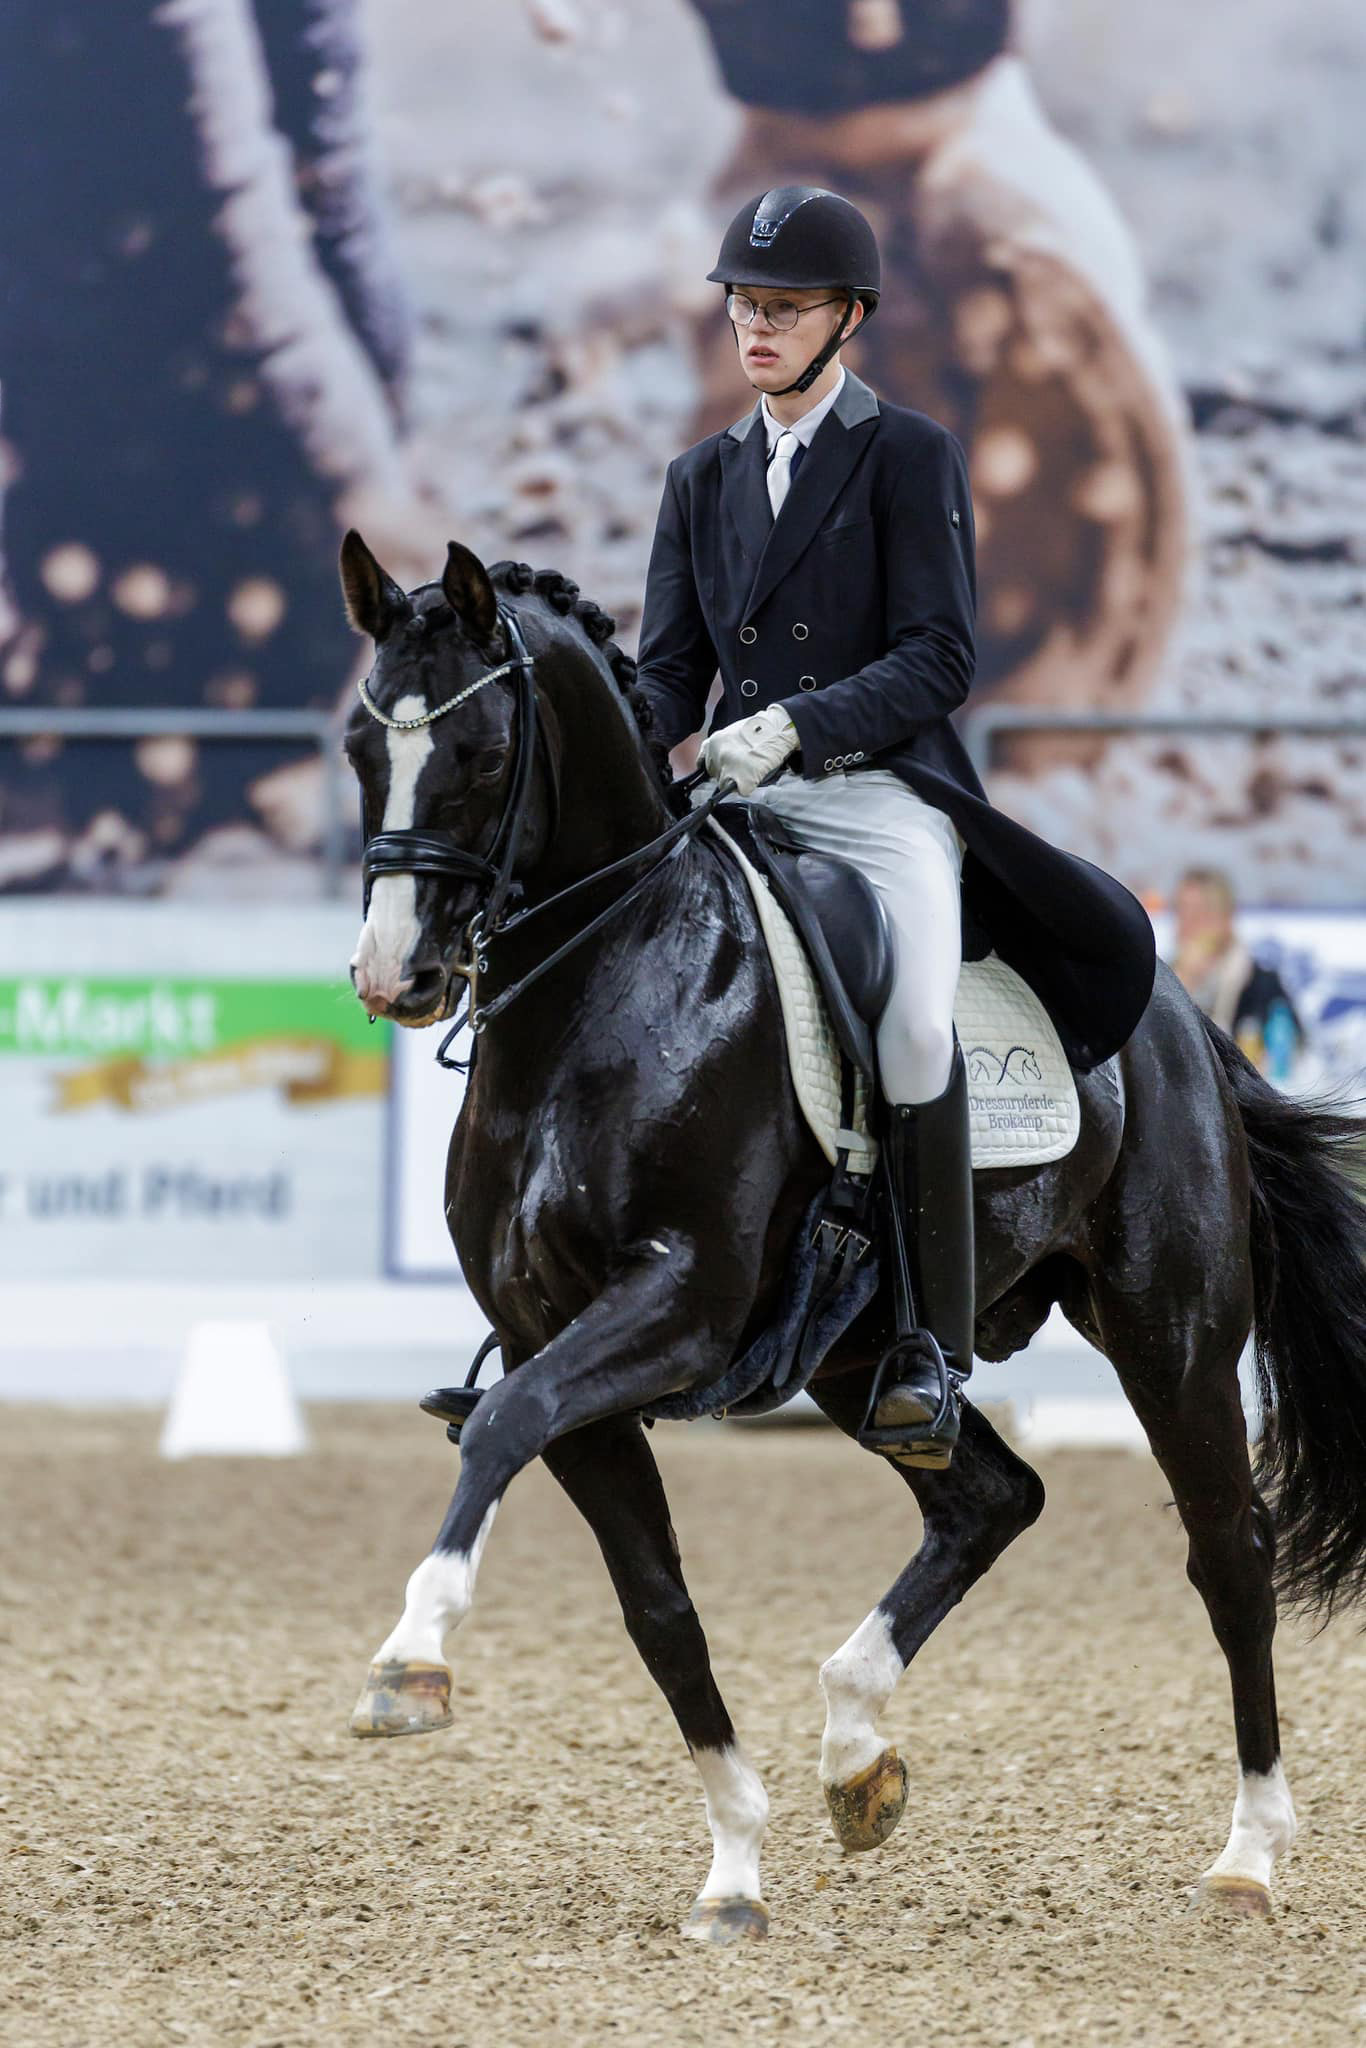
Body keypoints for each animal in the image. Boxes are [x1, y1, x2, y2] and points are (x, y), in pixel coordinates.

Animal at [335, 528, 1366, 1933]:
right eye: (358, 746)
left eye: (485, 752)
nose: (396, 978)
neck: (601, 995)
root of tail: (1184, 1022)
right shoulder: (561, 1343)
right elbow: (657, 1606)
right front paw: (733, 1864)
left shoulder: (679, 1301)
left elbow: (499, 1424)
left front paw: (410, 1662)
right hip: (857, 1355)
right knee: (992, 1498)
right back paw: (855, 1750)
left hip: (1173, 1337)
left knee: (1229, 1551)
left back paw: (1248, 1851)